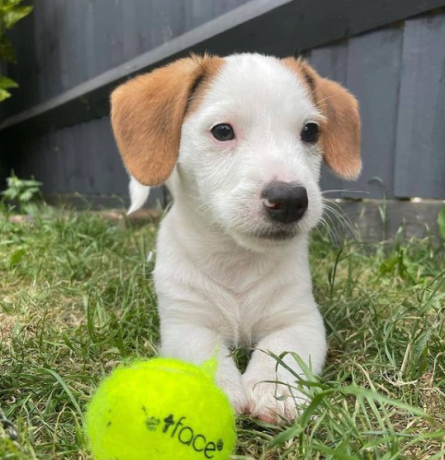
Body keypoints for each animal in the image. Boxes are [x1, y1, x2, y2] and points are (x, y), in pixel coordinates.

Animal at [110, 52, 360, 422]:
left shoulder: (300, 320)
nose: (289, 200)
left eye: (311, 131)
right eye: (223, 131)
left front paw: (275, 390)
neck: (236, 260)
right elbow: (205, 354)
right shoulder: (185, 325)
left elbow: (281, 351)